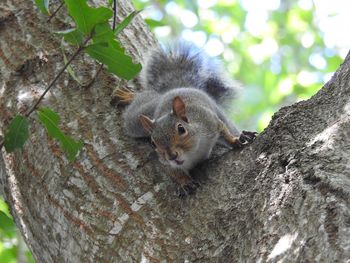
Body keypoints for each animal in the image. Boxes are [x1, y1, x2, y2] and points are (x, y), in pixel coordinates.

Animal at [116, 41, 256, 190]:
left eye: (181, 129)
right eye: (153, 143)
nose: (172, 156)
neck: (192, 153)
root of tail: (176, 88)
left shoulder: (209, 121)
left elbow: (224, 131)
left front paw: (235, 140)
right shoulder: (165, 162)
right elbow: (172, 171)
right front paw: (184, 182)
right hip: (135, 122)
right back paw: (129, 96)